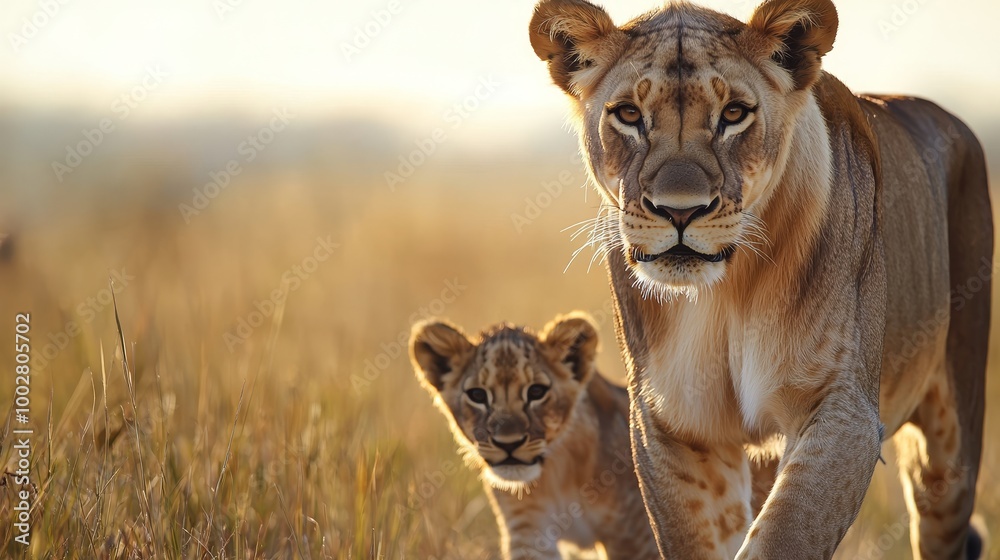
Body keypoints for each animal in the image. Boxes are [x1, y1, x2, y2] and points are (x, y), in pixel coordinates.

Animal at [409, 313, 658, 559]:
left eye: (536, 392)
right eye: (477, 395)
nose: (508, 444)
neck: (558, 476)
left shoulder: (632, 536)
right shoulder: (528, 529)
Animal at [528, 0, 992, 558]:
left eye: (733, 114)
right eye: (629, 115)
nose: (678, 211)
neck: (726, 293)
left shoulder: (844, 410)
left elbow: (786, 533)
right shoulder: (674, 425)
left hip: (949, 449)